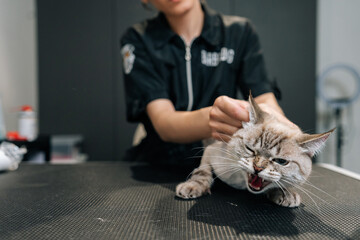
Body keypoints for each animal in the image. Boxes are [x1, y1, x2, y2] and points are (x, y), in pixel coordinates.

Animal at [176, 93, 334, 206]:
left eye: (281, 161)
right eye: (250, 149)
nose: (257, 168)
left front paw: (285, 193)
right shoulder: (210, 151)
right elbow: (202, 172)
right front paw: (192, 186)